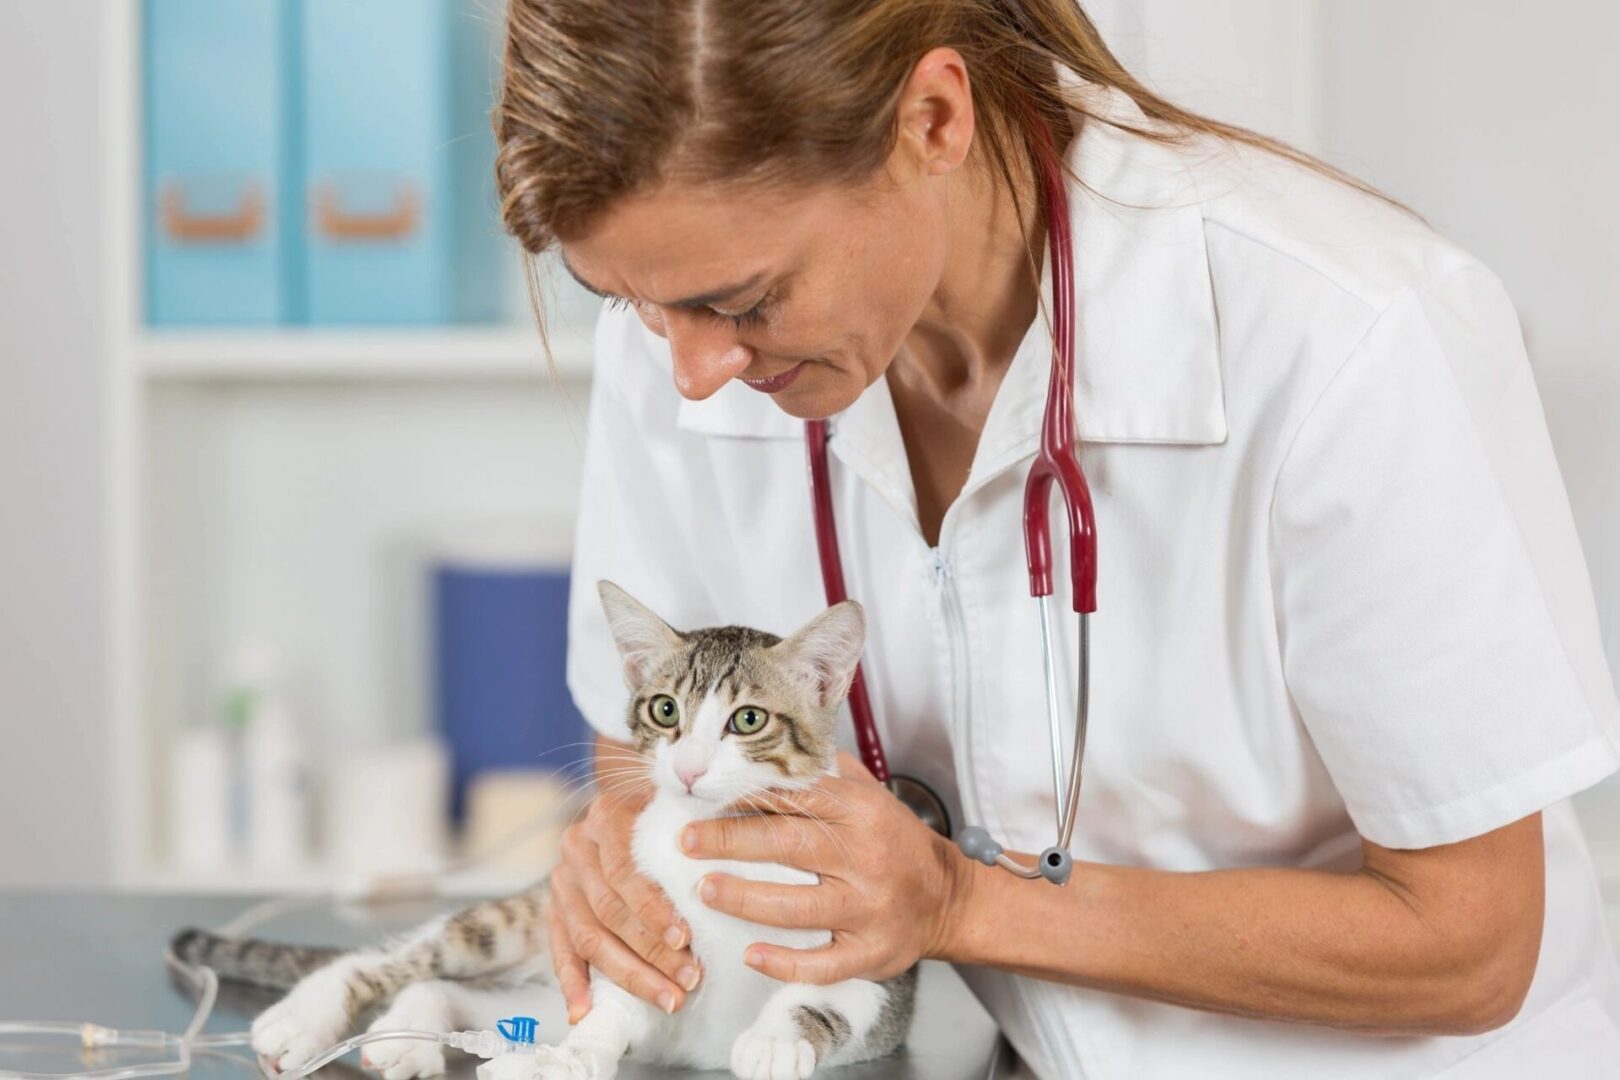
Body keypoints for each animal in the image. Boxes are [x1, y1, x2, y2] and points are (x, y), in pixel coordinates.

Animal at [174, 582, 926, 1080]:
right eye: (664, 710)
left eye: (748, 720)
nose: (687, 767)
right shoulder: (634, 939)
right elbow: (617, 1006)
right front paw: (574, 1056)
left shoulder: (872, 948)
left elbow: (829, 997)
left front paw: (775, 1039)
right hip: (528, 923)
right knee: (395, 959)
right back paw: (314, 1017)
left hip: (546, 987)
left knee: (467, 996)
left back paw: (412, 1036)